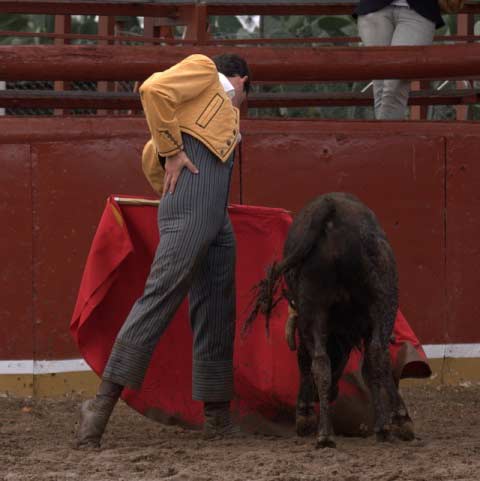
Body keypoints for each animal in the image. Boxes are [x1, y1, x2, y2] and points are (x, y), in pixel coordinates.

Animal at [246, 191, 414, 446]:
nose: (328, 394)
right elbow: (369, 367)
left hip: (325, 308)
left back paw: (325, 433)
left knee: (325, 361)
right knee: (372, 355)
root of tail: (331, 208)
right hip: (380, 303)